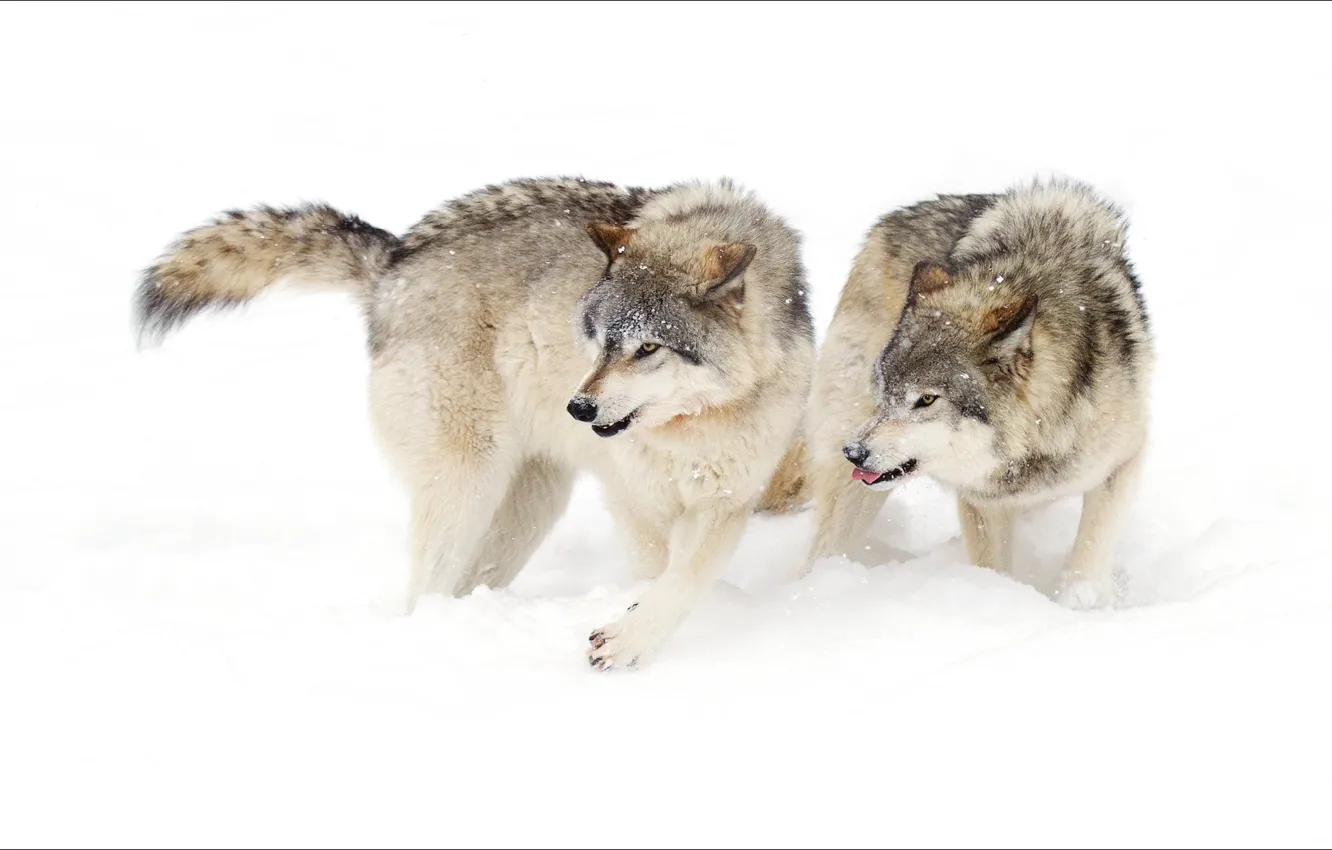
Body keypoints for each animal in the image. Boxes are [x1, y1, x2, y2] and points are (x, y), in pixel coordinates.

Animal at [134, 176, 815, 669]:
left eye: (648, 348)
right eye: (598, 340)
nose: (579, 408)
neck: (695, 423)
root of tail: (394, 263)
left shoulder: (727, 499)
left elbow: (685, 578)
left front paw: (643, 630)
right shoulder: (632, 497)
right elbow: (660, 571)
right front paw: (636, 632)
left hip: (527, 506)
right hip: (468, 483)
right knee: (423, 592)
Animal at [787, 178, 1152, 608]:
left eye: (927, 399)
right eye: (885, 388)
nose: (854, 452)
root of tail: (890, 221)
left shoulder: (1120, 464)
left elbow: (1092, 547)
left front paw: (1077, 603)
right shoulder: (982, 501)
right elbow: (993, 568)